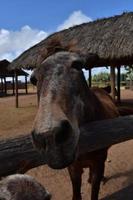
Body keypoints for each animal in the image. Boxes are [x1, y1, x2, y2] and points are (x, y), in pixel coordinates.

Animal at [30, 43, 119, 200]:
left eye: (77, 65)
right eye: (33, 79)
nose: (49, 136)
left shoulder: (98, 163)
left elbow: (95, 189)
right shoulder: (73, 168)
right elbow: (76, 192)